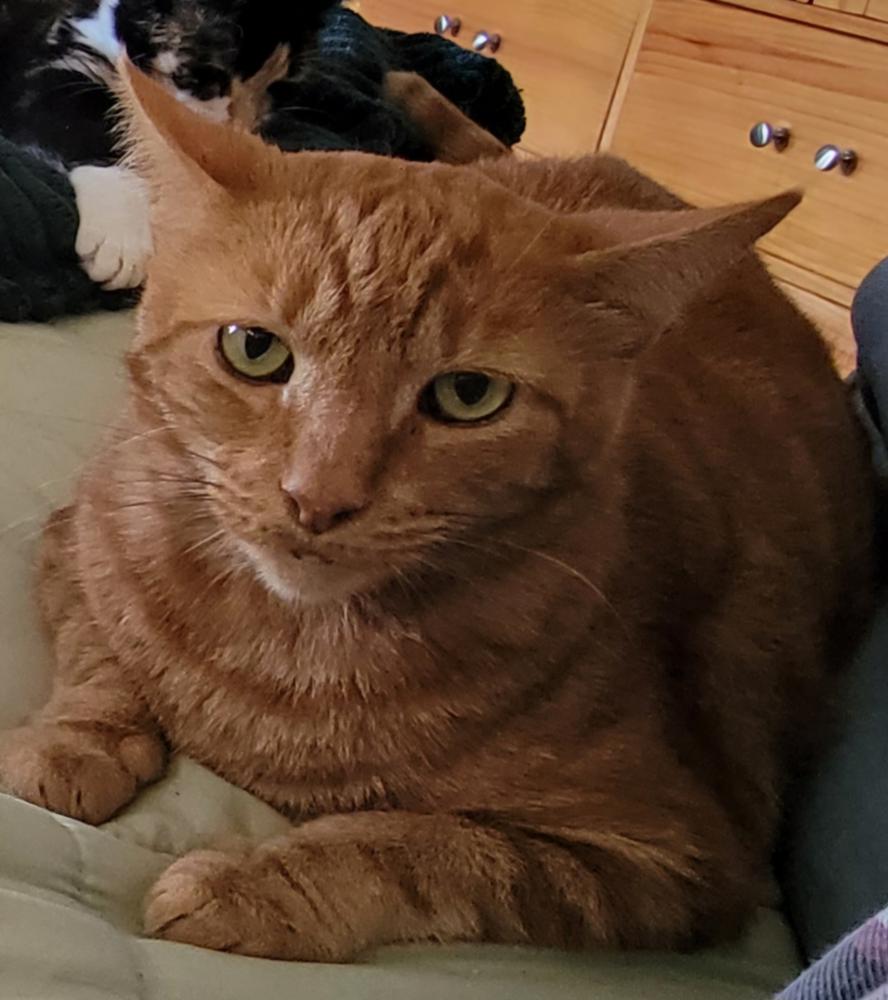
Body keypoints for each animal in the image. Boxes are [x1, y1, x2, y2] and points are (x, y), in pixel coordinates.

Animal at [0, 63, 875, 962]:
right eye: (255, 349)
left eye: (468, 395)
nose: (318, 497)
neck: (285, 656)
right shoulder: (76, 537)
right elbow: (100, 653)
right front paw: (75, 743)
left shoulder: (673, 859)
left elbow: (422, 850)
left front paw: (253, 888)